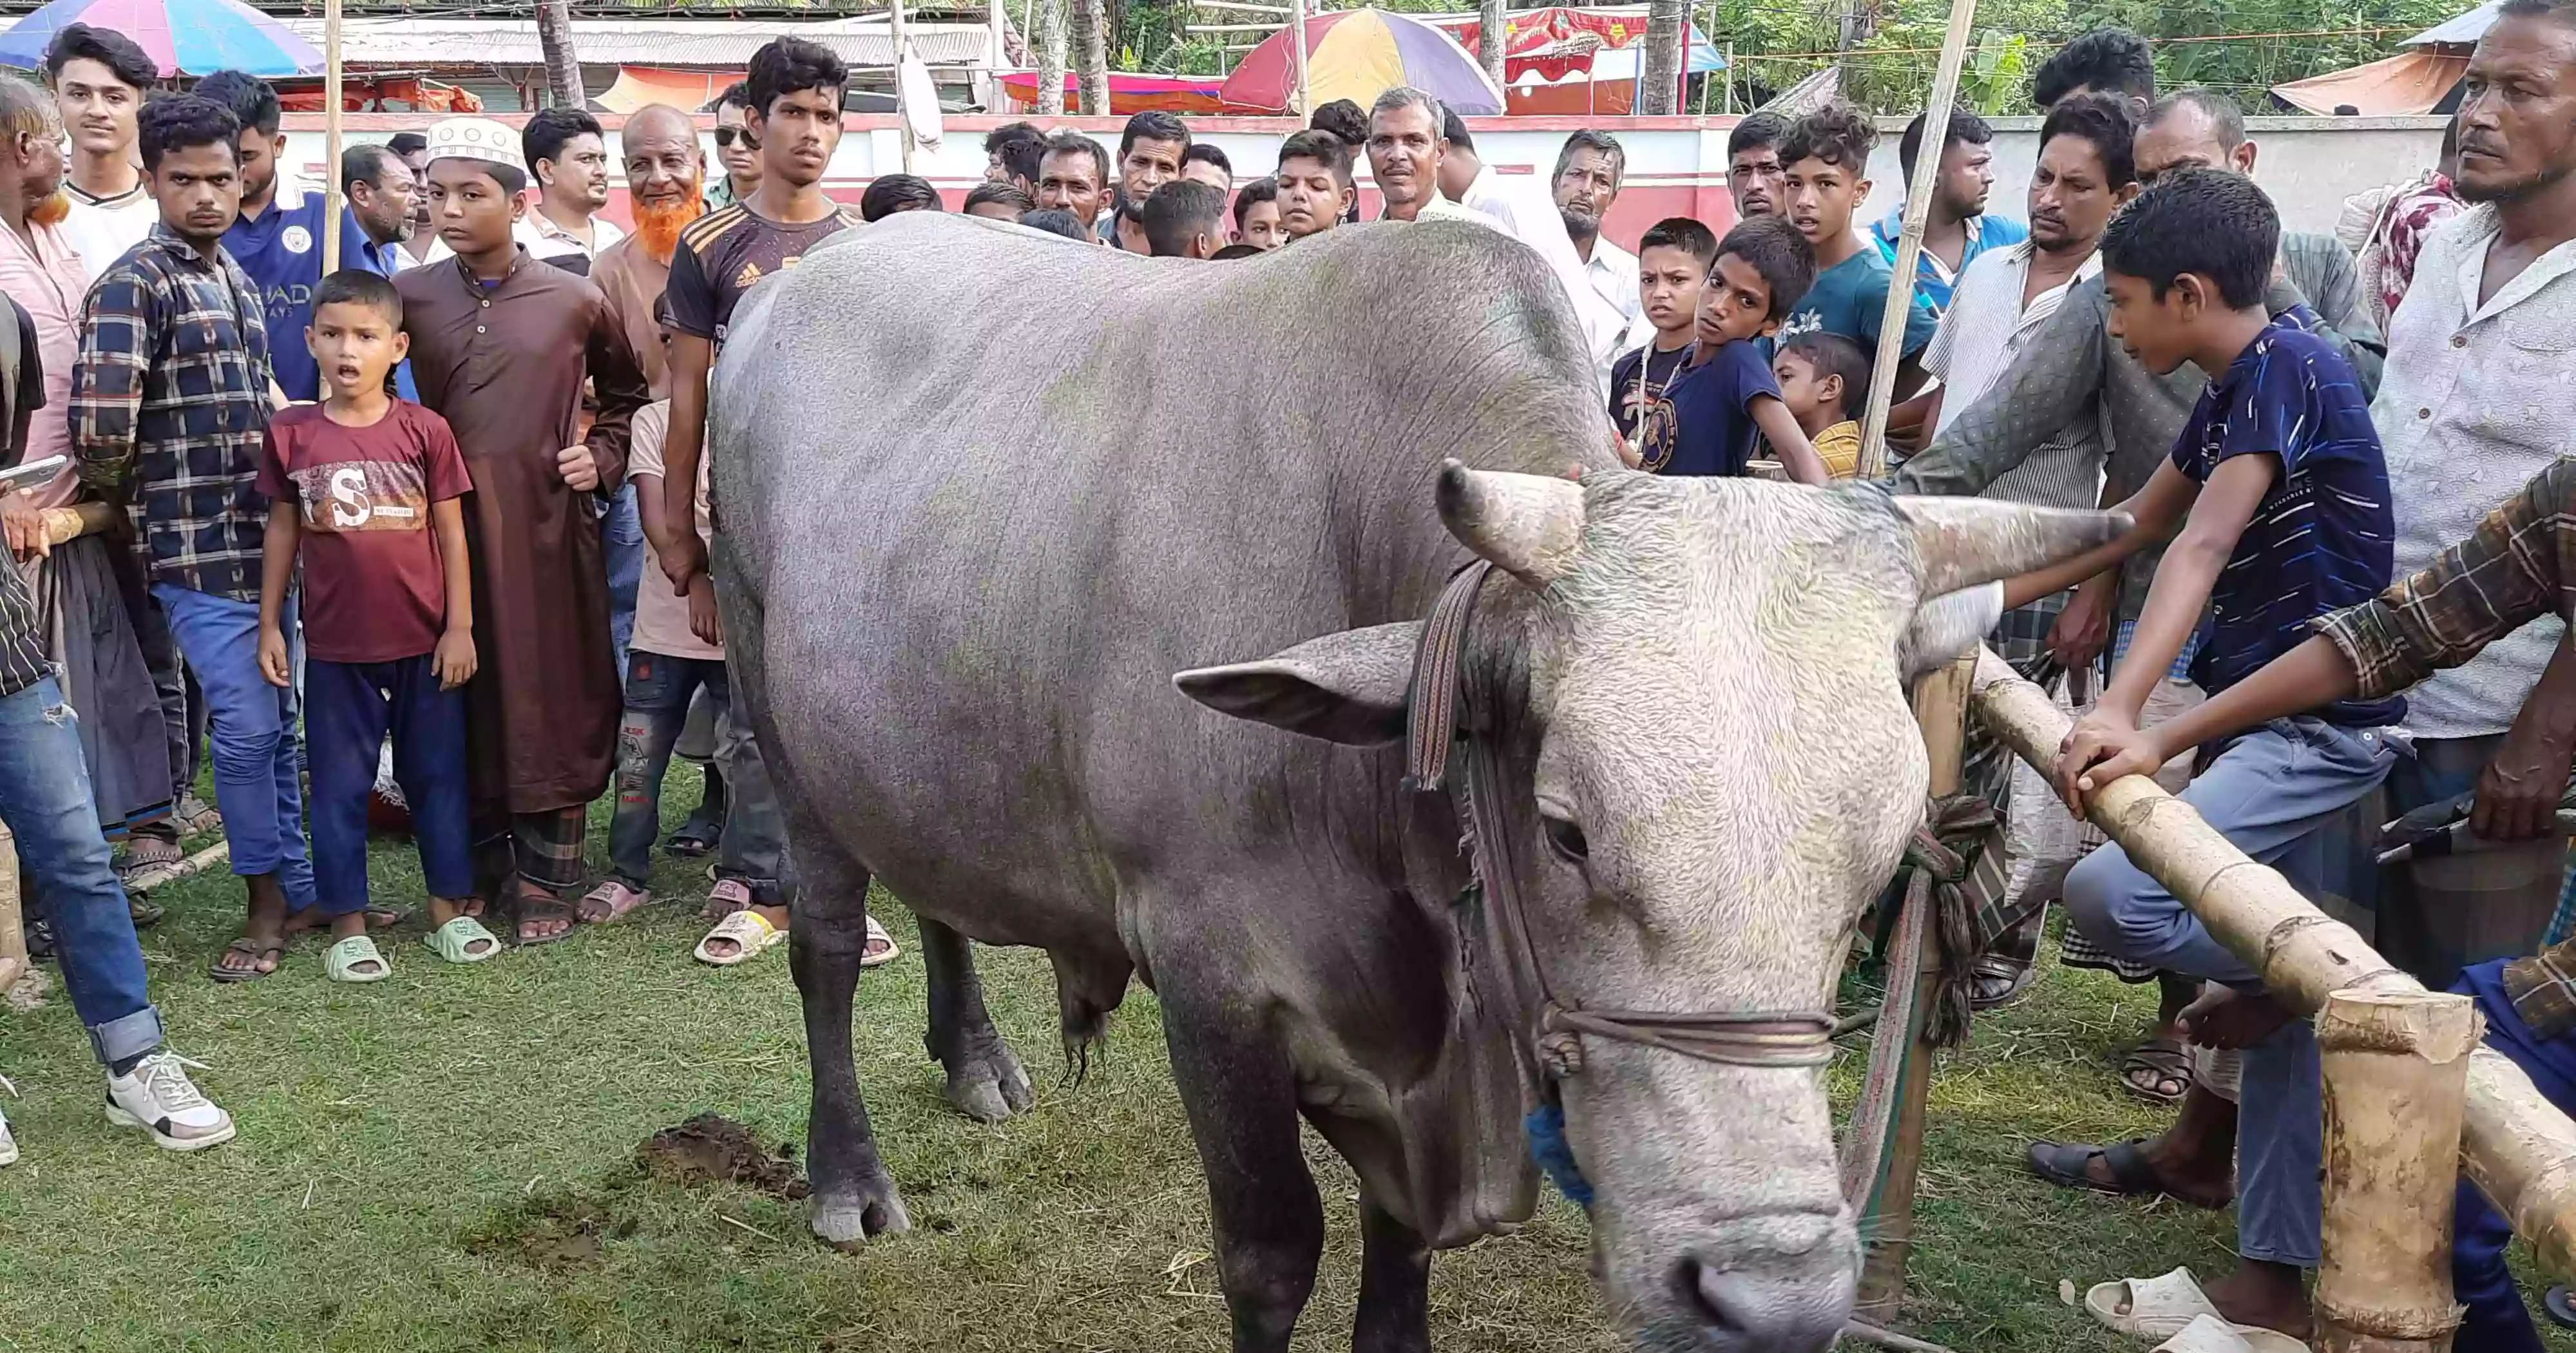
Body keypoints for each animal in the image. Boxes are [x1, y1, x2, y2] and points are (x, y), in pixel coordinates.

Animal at [705, 214, 2112, 1350]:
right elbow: (1273, 1256)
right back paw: (847, 1180)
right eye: (1564, 831)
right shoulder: (1212, 989)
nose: (1769, 1297)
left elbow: (1396, 1270)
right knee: (825, 943)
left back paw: (974, 1059)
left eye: (1880, 863)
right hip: (772, 706)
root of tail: (801, 276)